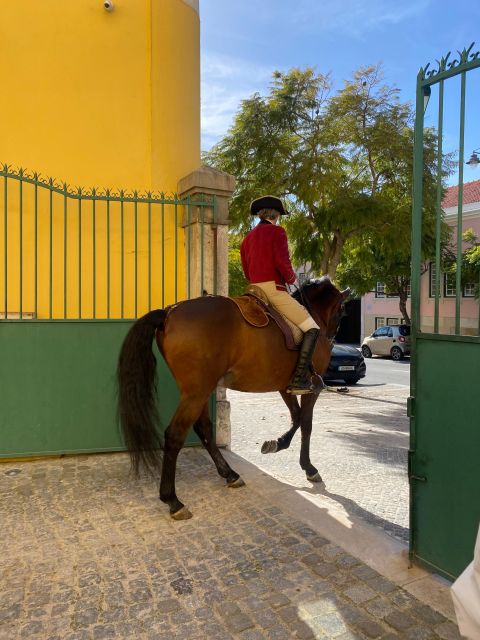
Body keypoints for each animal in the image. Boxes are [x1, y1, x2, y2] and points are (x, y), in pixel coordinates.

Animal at [116, 278, 348, 520]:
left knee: (204, 429)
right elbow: (305, 423)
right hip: (197, 393)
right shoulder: (311, 390)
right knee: (175, 435)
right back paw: (173, 500)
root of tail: (170, 311)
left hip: (199, 391)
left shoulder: (287, 388)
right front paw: (308, 467)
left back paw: (229, 474)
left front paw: (275, 444)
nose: (332, 339)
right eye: (342, 311)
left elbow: (296, 418)